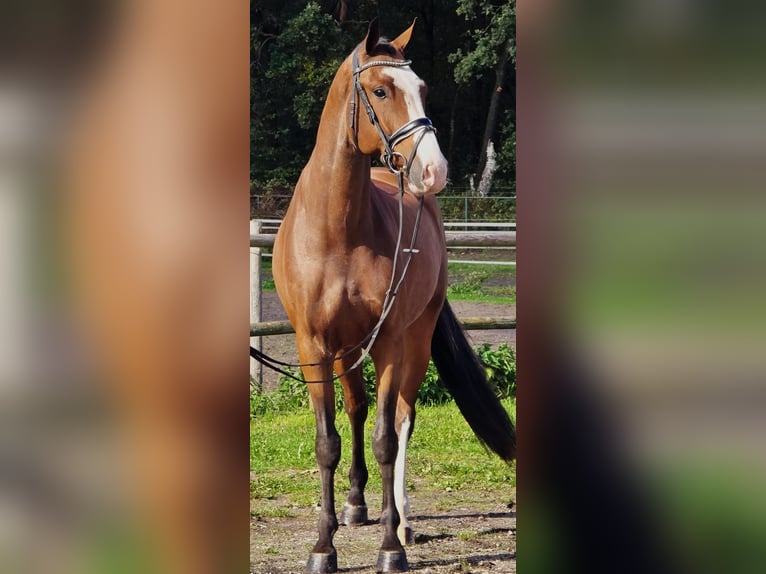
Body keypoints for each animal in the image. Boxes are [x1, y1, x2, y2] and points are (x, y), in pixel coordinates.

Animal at [271, 19, 516, 574]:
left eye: (422, 89)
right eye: (381, 90)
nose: (434, 171)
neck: (338, 231)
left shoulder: (387, 343)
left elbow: (386, 438)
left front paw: (390, 547)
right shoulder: (313, 347)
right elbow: (327, 442)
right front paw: (324, 546)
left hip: (415, 338)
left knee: (402, 418)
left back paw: (399, 518)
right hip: (347, 351)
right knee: (357, 408)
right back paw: (356, 505)